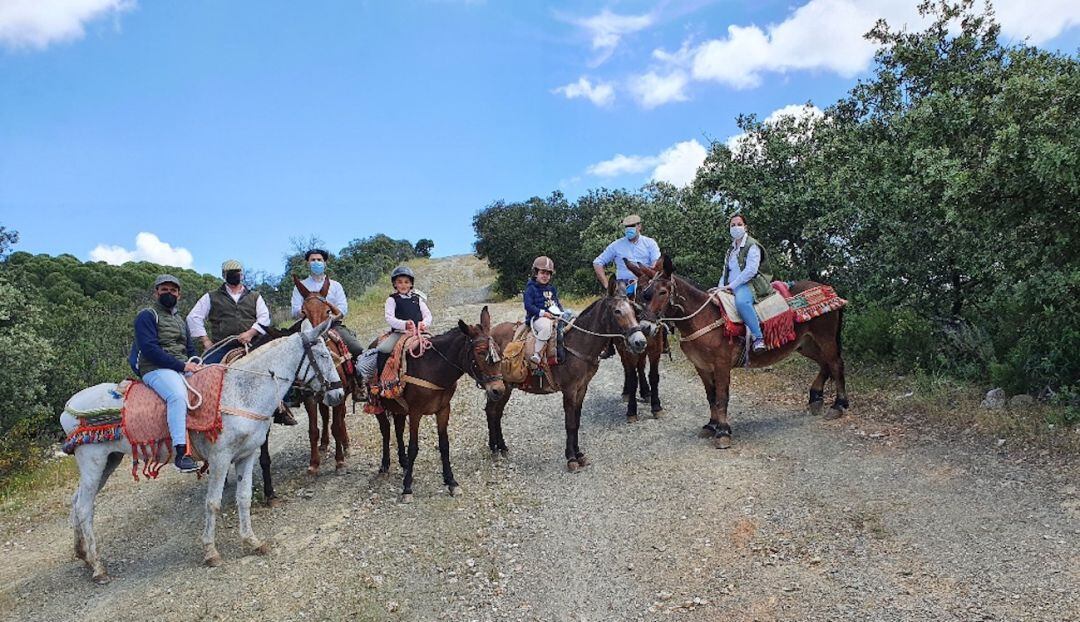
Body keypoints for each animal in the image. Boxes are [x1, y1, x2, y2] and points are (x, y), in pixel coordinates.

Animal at [60, 317, 345, 587]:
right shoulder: (221, 458)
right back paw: (98, 568)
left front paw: (251, 541)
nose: (338, 393)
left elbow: (244, 498)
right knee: (84, 508)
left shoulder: (246, 456)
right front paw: (211, 552)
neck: (240, 391)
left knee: (76, 502)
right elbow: (212, 503)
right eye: (322, 355)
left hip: (109, 461)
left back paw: (83, 555)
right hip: (93, 462)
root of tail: (68, 407)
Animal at [293, 274, 352, 472]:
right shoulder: (310, 398)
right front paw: (313, 463)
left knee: (340, 418)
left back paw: (346, 444)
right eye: (303, 312)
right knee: (325, 417)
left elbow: (337, 426)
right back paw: (325, 444)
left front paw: (340, 460)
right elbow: (313, 430)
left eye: (328, 311)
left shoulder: (339, 394)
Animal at [371, 306, 505, 501]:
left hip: (399, 409)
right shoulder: (416, 412)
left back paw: (404, 463)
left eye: (499, 351)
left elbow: (444, 445)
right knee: (386, 432)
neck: (433, 368)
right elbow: (413, 447)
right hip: (379, 407)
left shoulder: (443, 410)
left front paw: (451, 482)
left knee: (398, 430)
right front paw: (407, 488)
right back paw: (384, 467)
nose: (498, 390)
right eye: (480, 353)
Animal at [488, 280, 652, 470]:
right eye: (617, 311)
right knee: (492, 412)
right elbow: (570, 422)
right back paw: (494, 449)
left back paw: (501, 447)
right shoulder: (569, 390)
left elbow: (577, 422)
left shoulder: (582, 388)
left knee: (496, 412)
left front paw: (579, 454)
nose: (640, 342)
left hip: (504, 388)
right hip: (502, 387)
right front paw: (571, 458)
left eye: (634, 310)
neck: (577, 343)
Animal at [630, 254, 846, 449]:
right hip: (805, 344)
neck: (704, 318)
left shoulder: (722, 366)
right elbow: (711, 397)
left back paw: (839, 405)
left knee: (835, 364)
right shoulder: (701, 367)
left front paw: (723, 432)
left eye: (663, 292)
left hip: (824, 337)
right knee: (825, 363)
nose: (645, 327)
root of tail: (829, 290)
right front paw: (711, 425)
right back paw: (815, 398)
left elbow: (722, 397)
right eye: (645, 293)